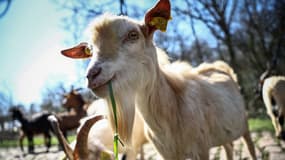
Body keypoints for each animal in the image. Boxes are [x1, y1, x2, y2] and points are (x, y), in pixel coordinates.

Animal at [61, 0, 256, 159]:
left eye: (133, 35)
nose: (92, 75)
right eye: (90, 50)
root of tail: (218, 66)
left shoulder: (201, 149)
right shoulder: (167, 154)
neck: (172, 108)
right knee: (229, 147)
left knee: (250, 147)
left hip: (244, 125)